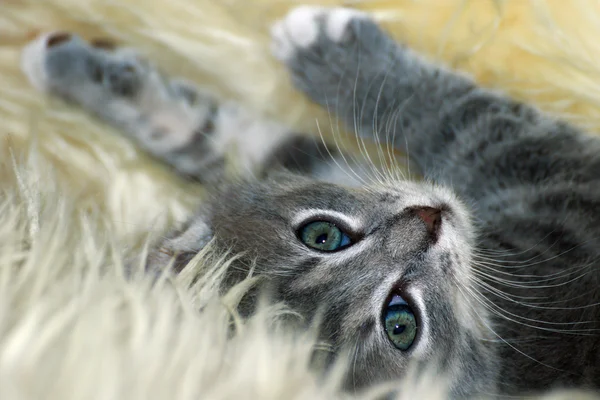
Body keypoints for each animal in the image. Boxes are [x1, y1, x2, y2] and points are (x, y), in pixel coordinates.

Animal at [18, 6, 600, 400]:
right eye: (401, 323)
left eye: (322, 234)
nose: (429, 218)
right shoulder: (570, 202)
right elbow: (468, 120)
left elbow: (229, 134)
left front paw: (69, 64)